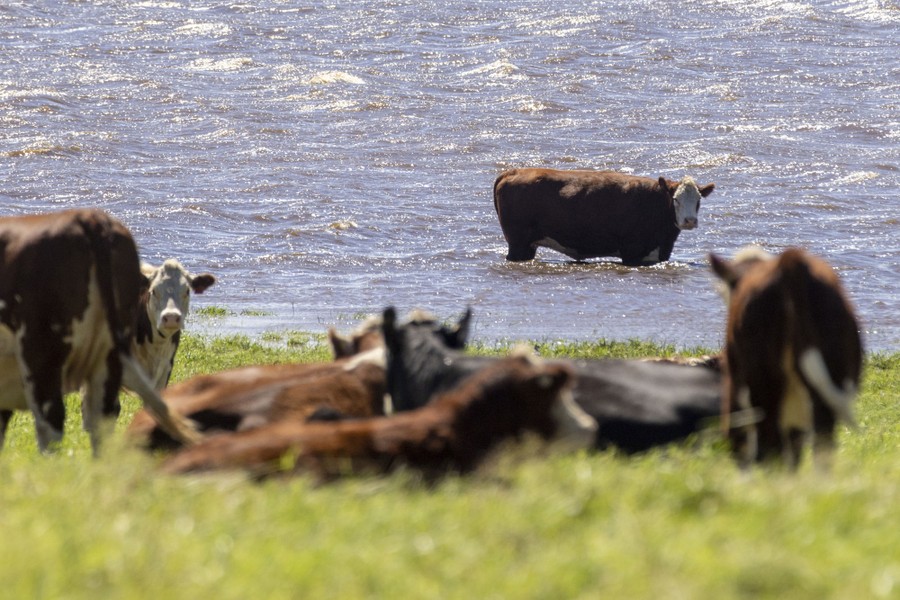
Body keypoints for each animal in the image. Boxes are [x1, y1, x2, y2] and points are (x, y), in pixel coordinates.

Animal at [493, 168, 715, 265]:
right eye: (675, 199)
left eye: (698, 200)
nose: (689, 221)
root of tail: (514, 171)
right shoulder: (632, 253)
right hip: (518, 244)